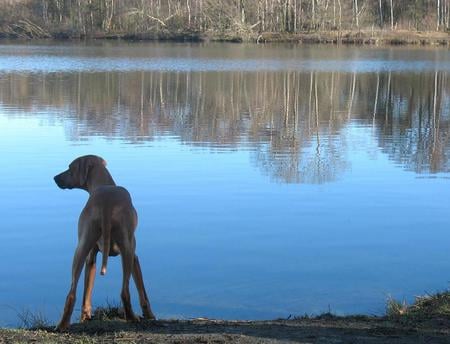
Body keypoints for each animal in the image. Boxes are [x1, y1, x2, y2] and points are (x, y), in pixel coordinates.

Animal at [52, 155, 155, 330]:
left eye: (70, 168)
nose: (55, 178)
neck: (104, 184)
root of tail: (106, 204)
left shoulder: (91, 258)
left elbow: (87, 292)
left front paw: (85, 316)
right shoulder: (134, 257)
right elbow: (143, 292)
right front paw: (150, 315)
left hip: (81, 247)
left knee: (72, 293)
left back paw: (62, 325)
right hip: (127, 249)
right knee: (125, 291)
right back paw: (132, 317)